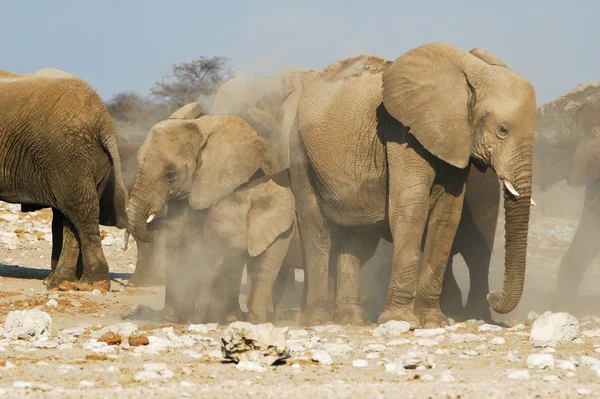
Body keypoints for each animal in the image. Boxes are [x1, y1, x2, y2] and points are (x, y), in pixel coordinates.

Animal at [0, 68, 127, 294]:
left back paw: (91, 284)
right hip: (79, 157)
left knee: (79, 210)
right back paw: (60, 283)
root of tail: (103, 120)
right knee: (72, 211)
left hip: (65, 153)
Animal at [290, 43, 536, 328]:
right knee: (316, 229)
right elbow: (411, 209)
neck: (471, 71)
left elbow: (447, 217)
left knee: (354, 235)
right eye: (503, 130)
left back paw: (352, 319)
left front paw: (434, 322)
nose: (494, 296)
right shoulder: (403, 134)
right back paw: (318, 319)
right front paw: (400, 321)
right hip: (298, 150)